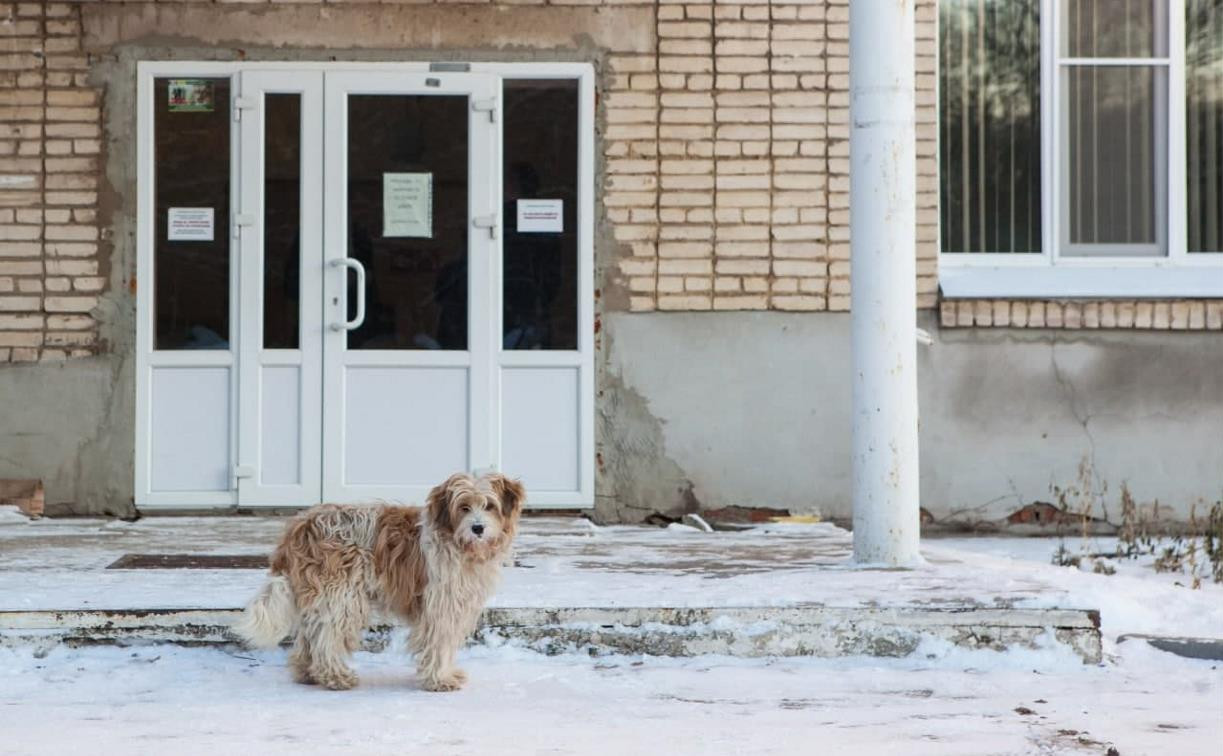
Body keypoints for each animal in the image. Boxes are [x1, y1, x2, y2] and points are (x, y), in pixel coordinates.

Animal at [233, 469, 525, 689]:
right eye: (463, 507)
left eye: (489, 506)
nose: (478, 528)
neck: (455, 541)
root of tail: (300, 526)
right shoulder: (441, 604)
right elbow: (439, 642)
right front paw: (440, 679)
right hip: (341, 595)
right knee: (326, 636)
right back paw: (335, 676)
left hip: (320, 596)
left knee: (310, 633)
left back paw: (307, 673)